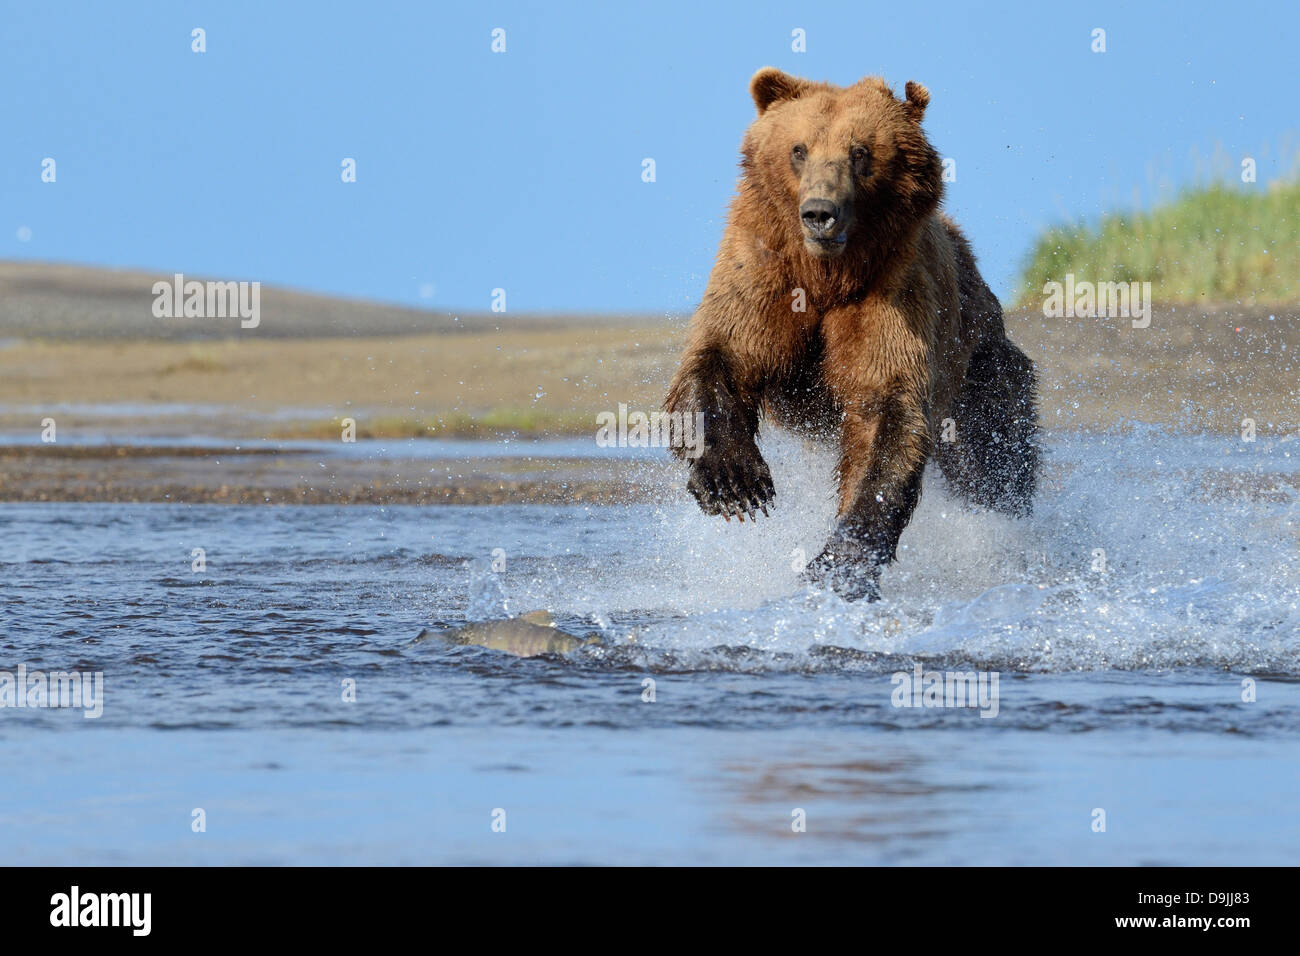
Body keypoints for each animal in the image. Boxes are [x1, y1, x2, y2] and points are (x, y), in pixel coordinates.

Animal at [665, 69, 1040, 598]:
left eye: (860, 152)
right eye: (798, 149)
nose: (820, 212)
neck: (829, 275)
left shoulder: (892, 292)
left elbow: (883, 411)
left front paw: (838, 562)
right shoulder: (762, 270)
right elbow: (724, 355)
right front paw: (735, 482)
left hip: (976, 361)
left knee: (993, 457)